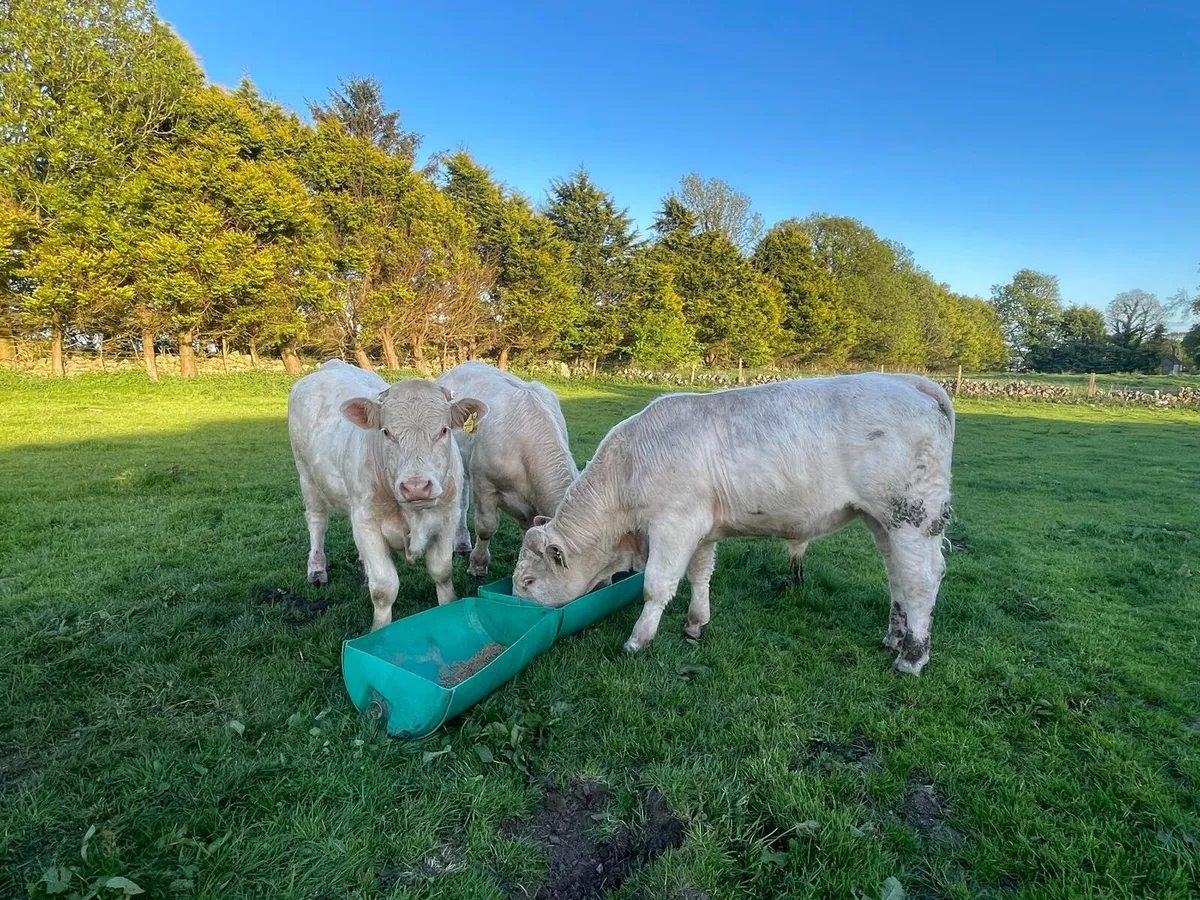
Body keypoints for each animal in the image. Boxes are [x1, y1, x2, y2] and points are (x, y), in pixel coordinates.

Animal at [287, 360, 487, 630]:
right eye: (386, 432)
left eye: (443, 431)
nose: (416, 486)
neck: (412, 514)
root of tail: (330, 366)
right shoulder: (367, 521)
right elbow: (384, 587)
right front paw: (379, 631)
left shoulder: (448, 518)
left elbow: (442, 573)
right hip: (307, 476)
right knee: (317, 522)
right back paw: (317, 570)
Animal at [511, 373, 955, 675]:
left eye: (529, 581)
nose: (515, 606)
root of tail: (909, 381)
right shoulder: (702, 529)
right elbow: (700, 575)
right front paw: (695, 623)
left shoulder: (674, 524)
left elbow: (658, 584)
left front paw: (638, 640)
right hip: (882, 521)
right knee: (898, 575)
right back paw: (894, 638)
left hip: (912, 515)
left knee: (923, 578)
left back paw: (912, 657)